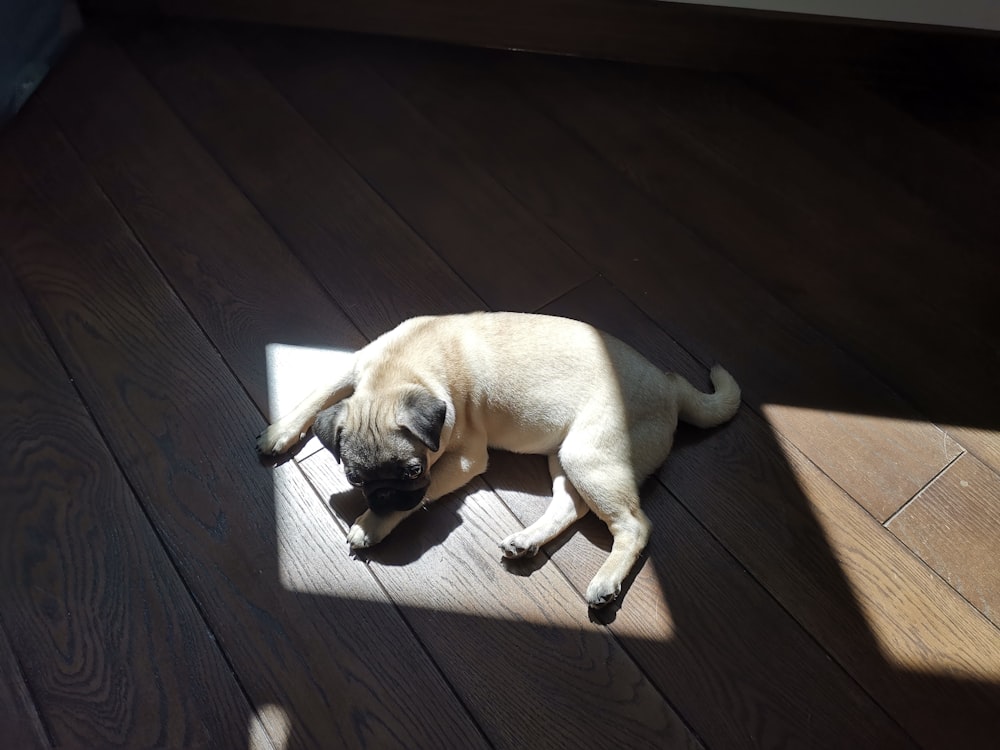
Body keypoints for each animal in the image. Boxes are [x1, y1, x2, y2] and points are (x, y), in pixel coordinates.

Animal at [258, 312, 744, 612]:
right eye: (356, 479)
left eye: (413, 472)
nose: (381, 497)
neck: (403, 372)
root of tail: (671, 387)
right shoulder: (353, 366)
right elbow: (316, 394)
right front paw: (280, 430)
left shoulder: (464, 459)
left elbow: (424, 496)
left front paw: (371, 524)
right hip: (565, 459)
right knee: (571, 506)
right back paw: (527, 541)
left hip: (589, 455)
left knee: (633, 525)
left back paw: (606, 584)